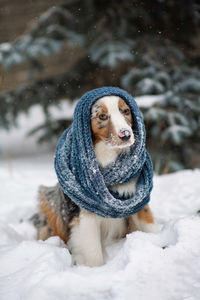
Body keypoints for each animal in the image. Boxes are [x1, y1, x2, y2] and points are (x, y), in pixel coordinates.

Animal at [36, 95, 157, 268]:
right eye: (102, 116)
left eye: (126, 111)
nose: (126, 135)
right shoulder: (85, 216)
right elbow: (94, 255)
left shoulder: (137, 201)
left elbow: (150, 225)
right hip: (48, 200)